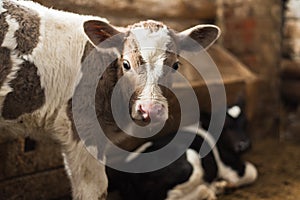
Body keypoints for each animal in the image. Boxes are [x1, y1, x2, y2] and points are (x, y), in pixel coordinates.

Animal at [106, 104, 258, 200]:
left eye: (245, 123)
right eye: (226, 126)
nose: (244, 144)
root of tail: (127, 173)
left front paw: (221, 185)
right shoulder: (229, 167)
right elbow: (252, 172)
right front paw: (222, 184)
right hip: (190, 161)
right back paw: (207, 191)